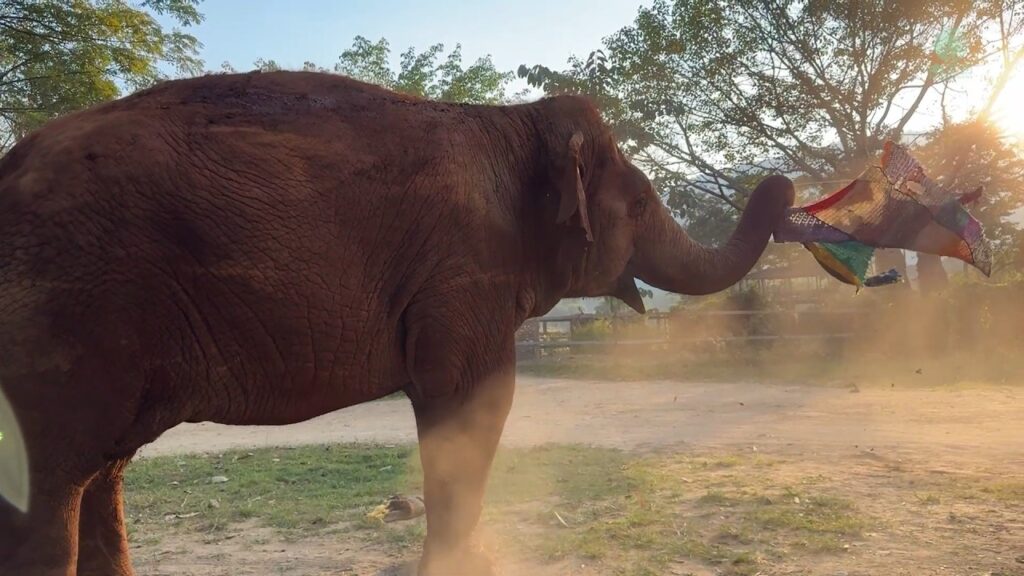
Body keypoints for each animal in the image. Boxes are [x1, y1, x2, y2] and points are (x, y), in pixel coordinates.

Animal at [0, 70, 794, 575]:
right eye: (639, 205)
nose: (784, 187)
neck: (511, 120)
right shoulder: (464, 271)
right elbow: (472, 404)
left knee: (102, 471)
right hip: (68, 312)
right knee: (56, 486)